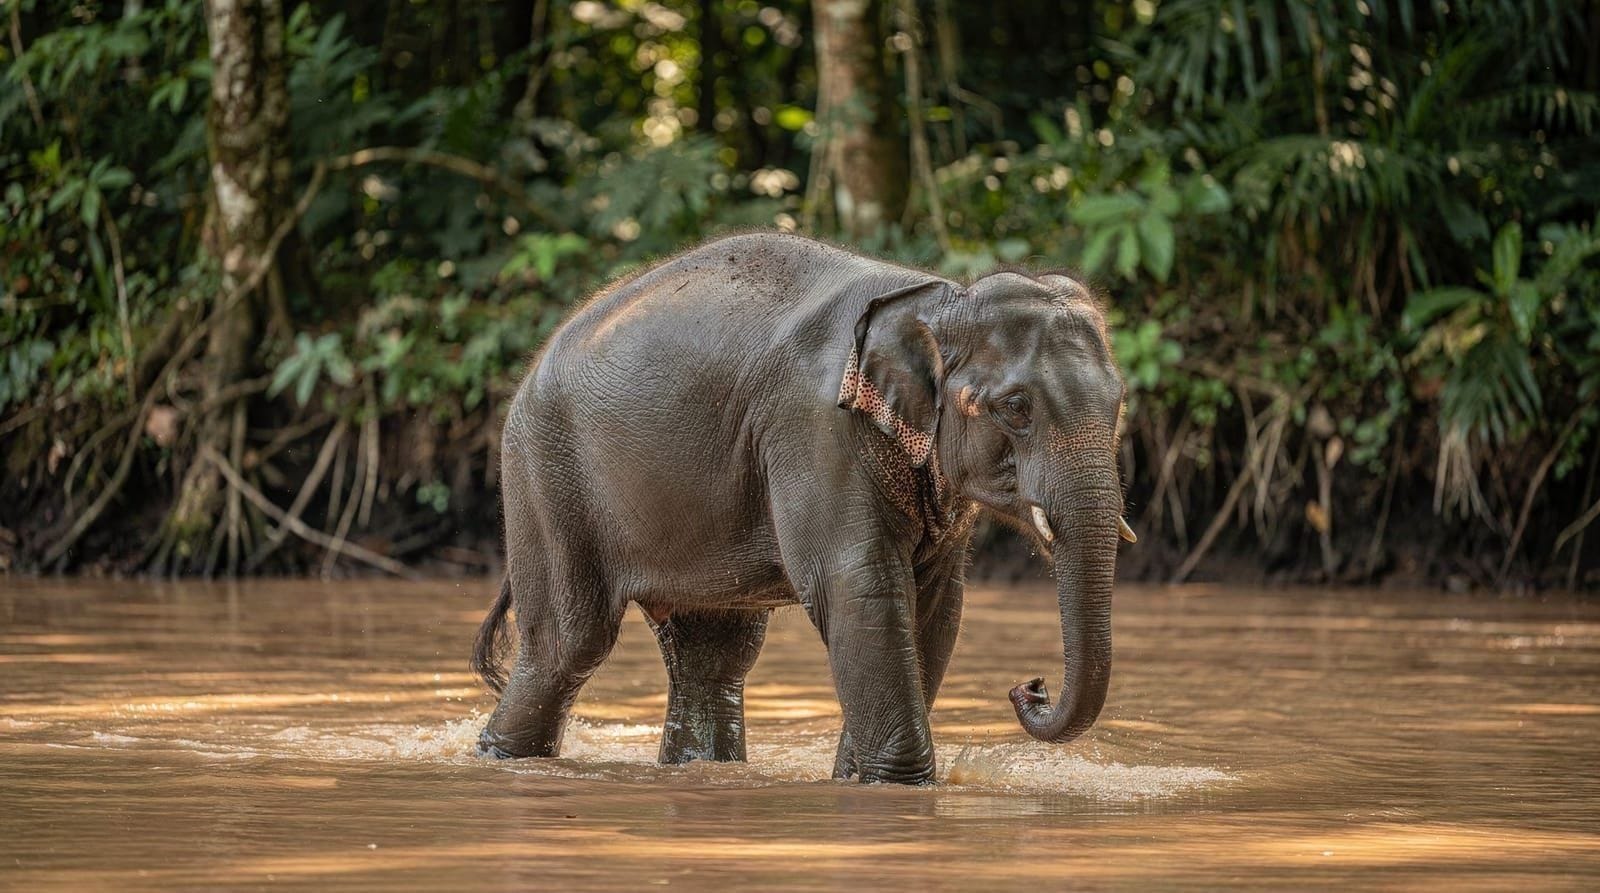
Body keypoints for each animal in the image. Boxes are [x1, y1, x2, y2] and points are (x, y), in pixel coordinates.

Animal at [471, 231, 1134, 783]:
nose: (1031, 686)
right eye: (1016, 408)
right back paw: (503, 758)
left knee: (713, 656)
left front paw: (856, 779)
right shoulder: (815, 430)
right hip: (545, 474)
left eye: (1120, 401)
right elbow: (860, 587)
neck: (940, 298)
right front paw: (897, 787)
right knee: (568, 644)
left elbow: (935, 605)